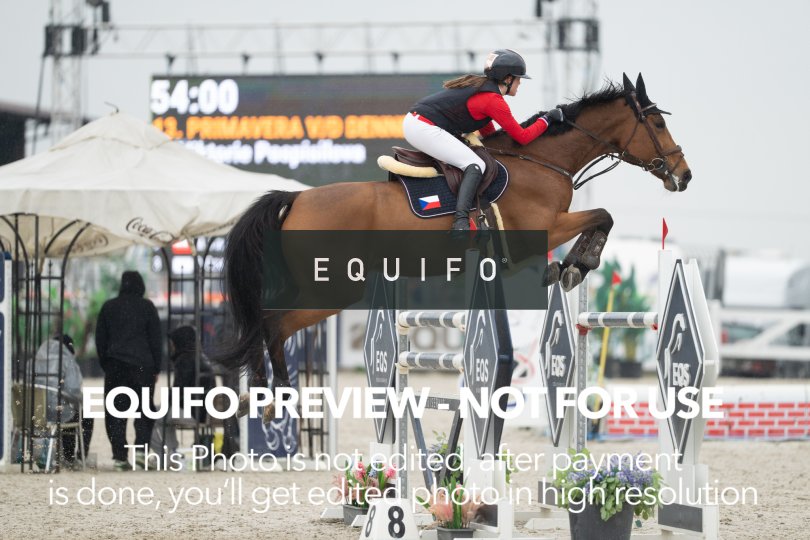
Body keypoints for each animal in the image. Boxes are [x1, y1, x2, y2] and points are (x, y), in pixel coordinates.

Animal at [218, 72, 691, 399]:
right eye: (656, 124)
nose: (684, 176)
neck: (543, 161)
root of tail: (296, 198)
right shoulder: (541, 231)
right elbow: (602, 216)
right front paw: (576, 266)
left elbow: (599, 218)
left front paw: (570, 267)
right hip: (331, 289)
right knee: (273, 324)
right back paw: (275, 396)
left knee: (263, 319)